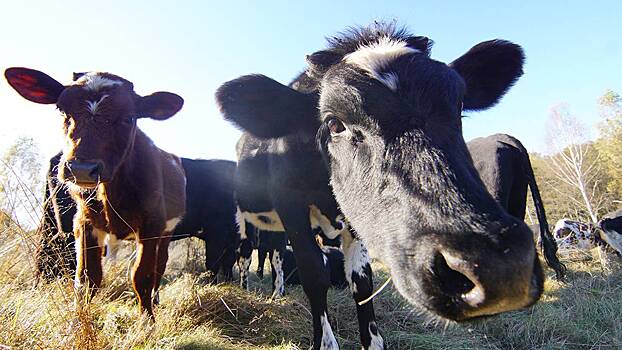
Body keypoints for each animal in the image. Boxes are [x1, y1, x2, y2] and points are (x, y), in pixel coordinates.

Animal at [4, 67, 186, 318]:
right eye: (61, 109)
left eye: (129, 118)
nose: (81, 169)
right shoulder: (85, 222)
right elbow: (87, 279)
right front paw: (78, 321)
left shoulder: (152, 225)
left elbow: (142, 277)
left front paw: (146, 322)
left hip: (166, 232)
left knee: (160, 266)